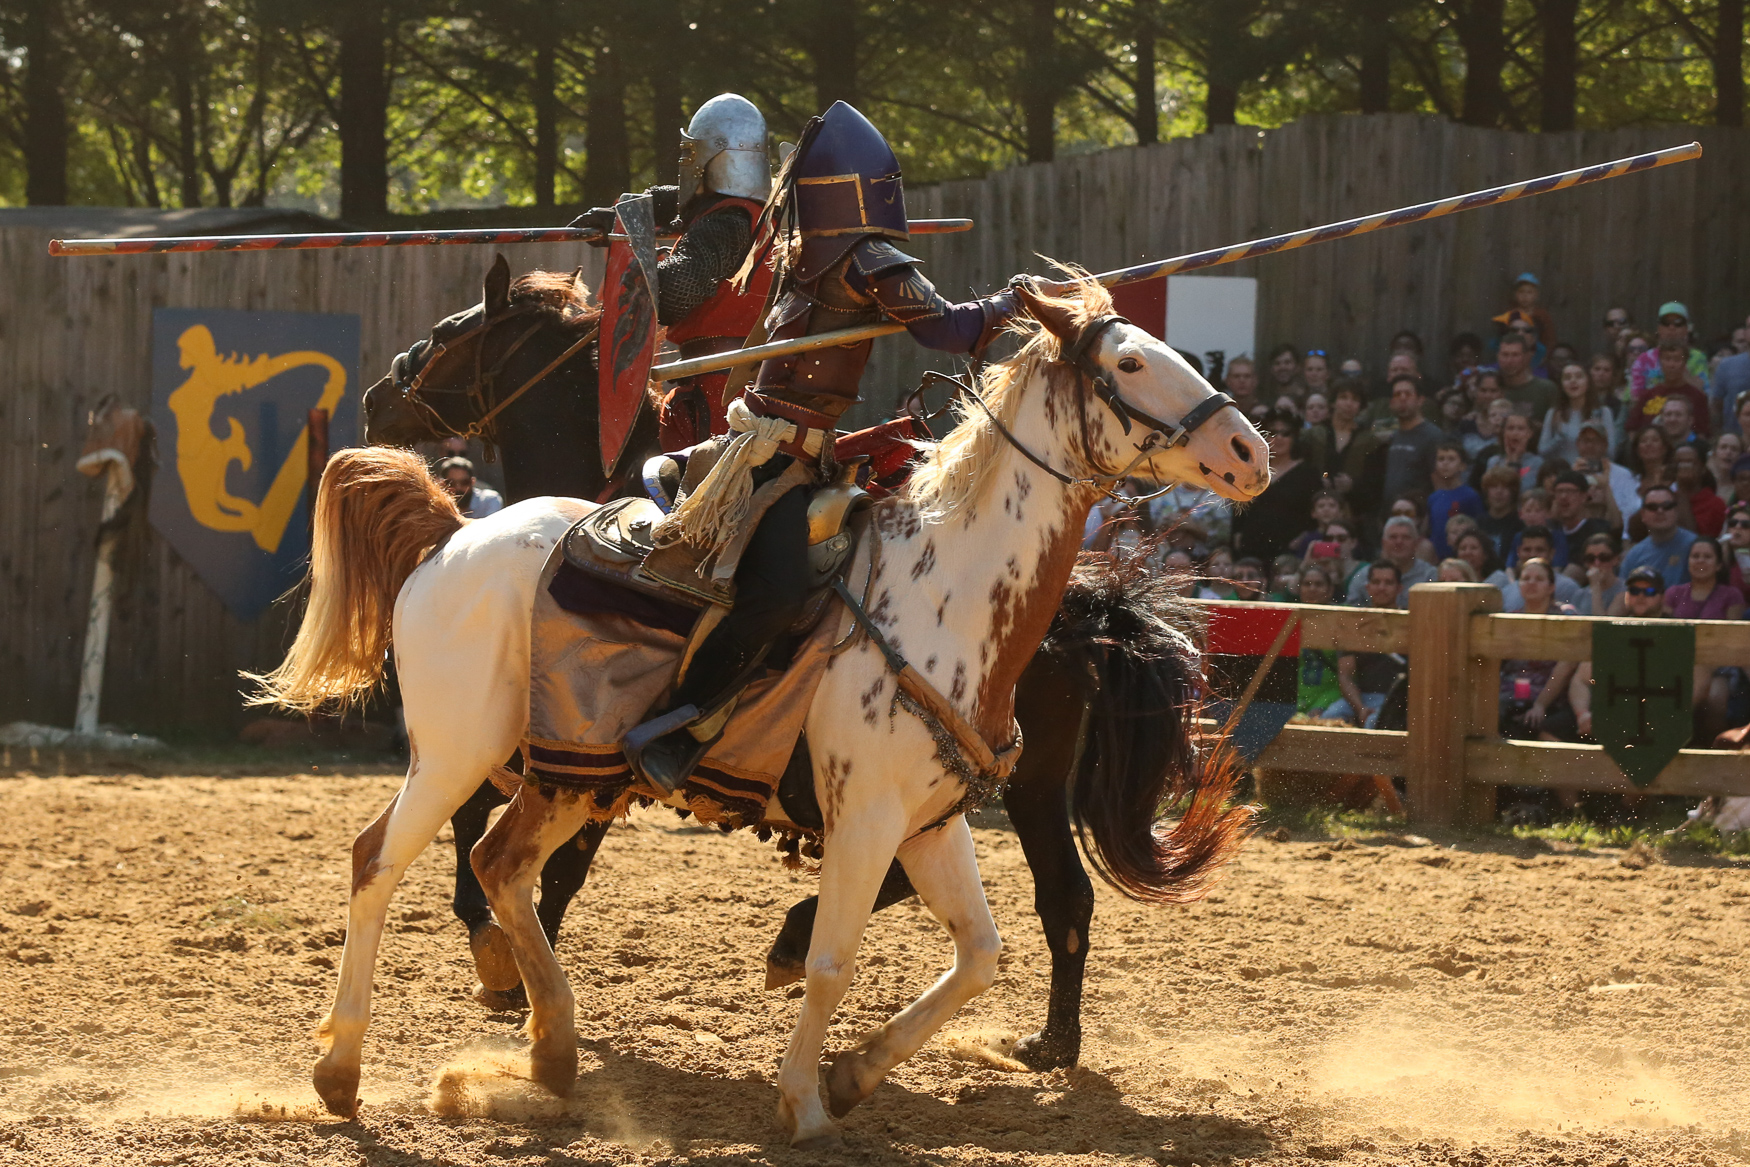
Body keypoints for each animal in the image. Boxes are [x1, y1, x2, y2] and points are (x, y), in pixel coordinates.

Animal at [253, 278, 1267, 1147]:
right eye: (1129, 362)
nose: (1250, 451)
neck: (946, 591)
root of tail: (456, 532)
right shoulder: (867, 818)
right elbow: (834, 959)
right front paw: (806, 1100)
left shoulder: (929, 822)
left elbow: (979, 953)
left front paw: (854, 1073)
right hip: (462, 751)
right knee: (382, 860)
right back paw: (342, 1069)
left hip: (564, 772)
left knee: (498, 861)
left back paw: (552, 1046)